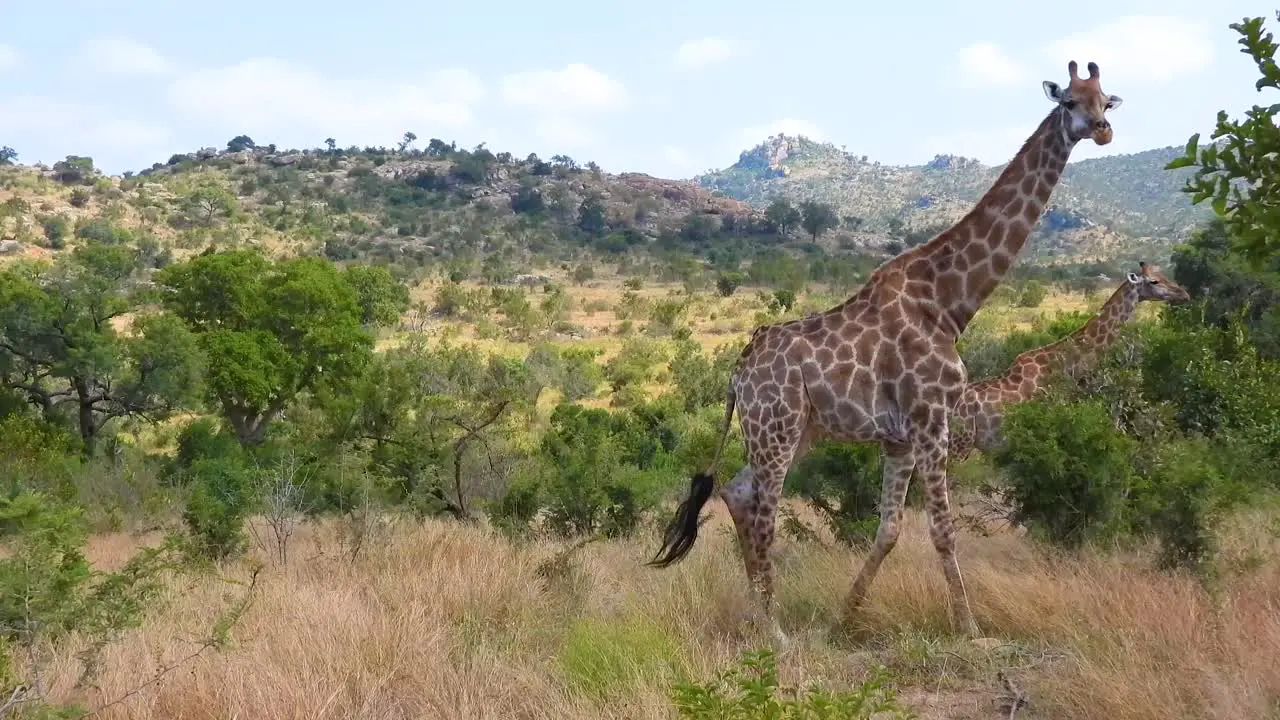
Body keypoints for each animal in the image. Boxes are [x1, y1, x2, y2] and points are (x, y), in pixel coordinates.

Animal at [650, 60, 1121, 638]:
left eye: (1105, 99)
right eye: (1069, 102)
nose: (1102, 130)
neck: (947, 303)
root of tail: (736, 374)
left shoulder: (898, 437)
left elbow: (891, 529)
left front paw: (844, 619)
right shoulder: (931, 417)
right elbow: (942, 529)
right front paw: (971, 629)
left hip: (797, 429)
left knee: (739, 494)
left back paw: (762, 614)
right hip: (774, 428)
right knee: (763, 509)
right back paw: (775, 631)